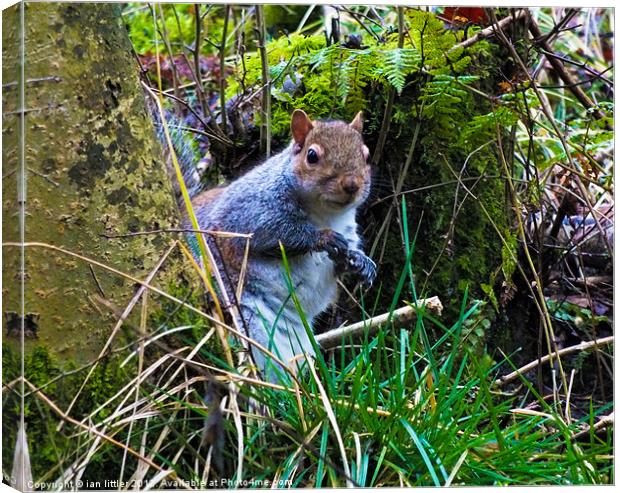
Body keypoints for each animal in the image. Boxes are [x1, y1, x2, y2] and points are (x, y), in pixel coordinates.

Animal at [162, 108, 376, 380]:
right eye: (312, 156)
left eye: (366, 155)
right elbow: (277, 234)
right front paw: (323, 238)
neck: (325, 214)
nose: (351, 184)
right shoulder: (248, 212)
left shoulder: (348, 231)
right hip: (248, 319)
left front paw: (361, 262)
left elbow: (344, 259)